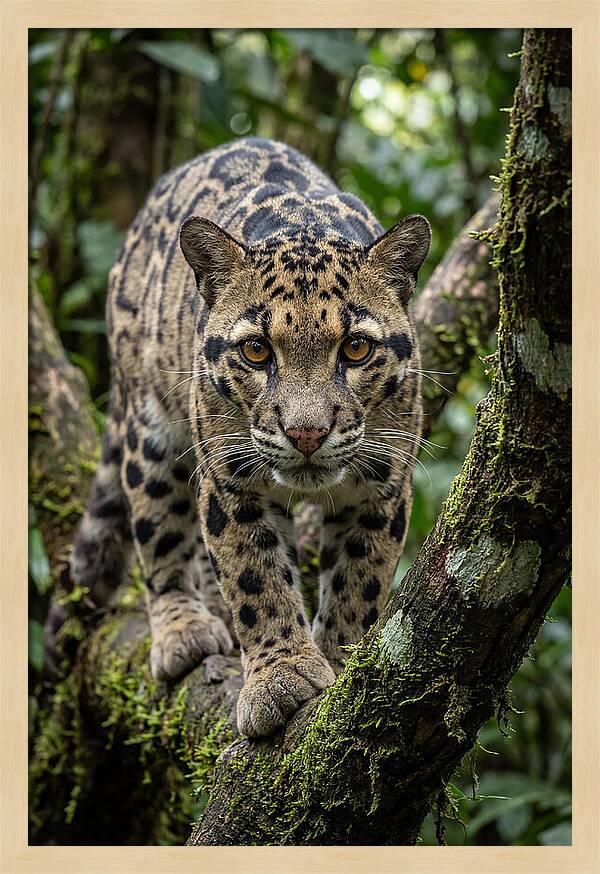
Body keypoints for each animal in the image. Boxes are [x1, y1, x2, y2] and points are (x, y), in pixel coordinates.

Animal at [71, 137, 430, 738]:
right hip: (149, 428)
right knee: (158, 531)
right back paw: (185, 629)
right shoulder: (230, 478)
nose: (306, 433)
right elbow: (254, 576)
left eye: (356, 348)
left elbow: (360, 580)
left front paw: (340, 661)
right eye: (257, 350)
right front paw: (280, 679)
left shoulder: (383, 483)